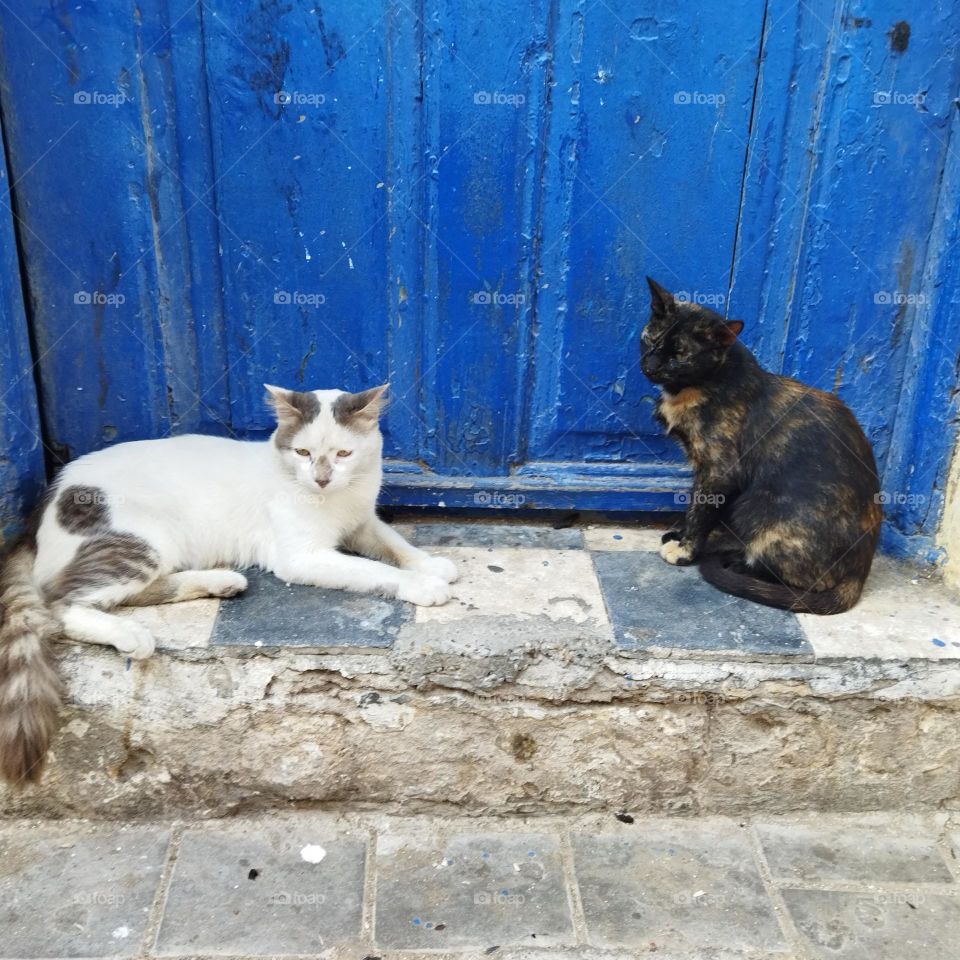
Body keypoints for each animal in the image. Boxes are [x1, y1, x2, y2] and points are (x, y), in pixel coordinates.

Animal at [0, 384, 458, 788]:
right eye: (303, 453)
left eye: (344, 454)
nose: (322, 479)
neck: (335, 500)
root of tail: (42, 507)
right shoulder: (302, 557)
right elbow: (374, 570)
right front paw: (422, 585)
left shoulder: (362, 524)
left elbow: (394, 544)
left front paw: (431, 565)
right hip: (139, 544)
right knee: (61, 604)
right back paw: (131, 634)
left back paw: (221, 582)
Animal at [640, 276, 880, 616]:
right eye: (650, 340)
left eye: (679, 355)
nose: (650, 366)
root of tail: (859, 574)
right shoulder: (704, 471)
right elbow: (694, 505)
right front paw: (682, 534)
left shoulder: (720, 470)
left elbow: (702, 510)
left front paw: (686, 550)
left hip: (755, 507)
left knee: (803, 582)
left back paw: (738, 563)